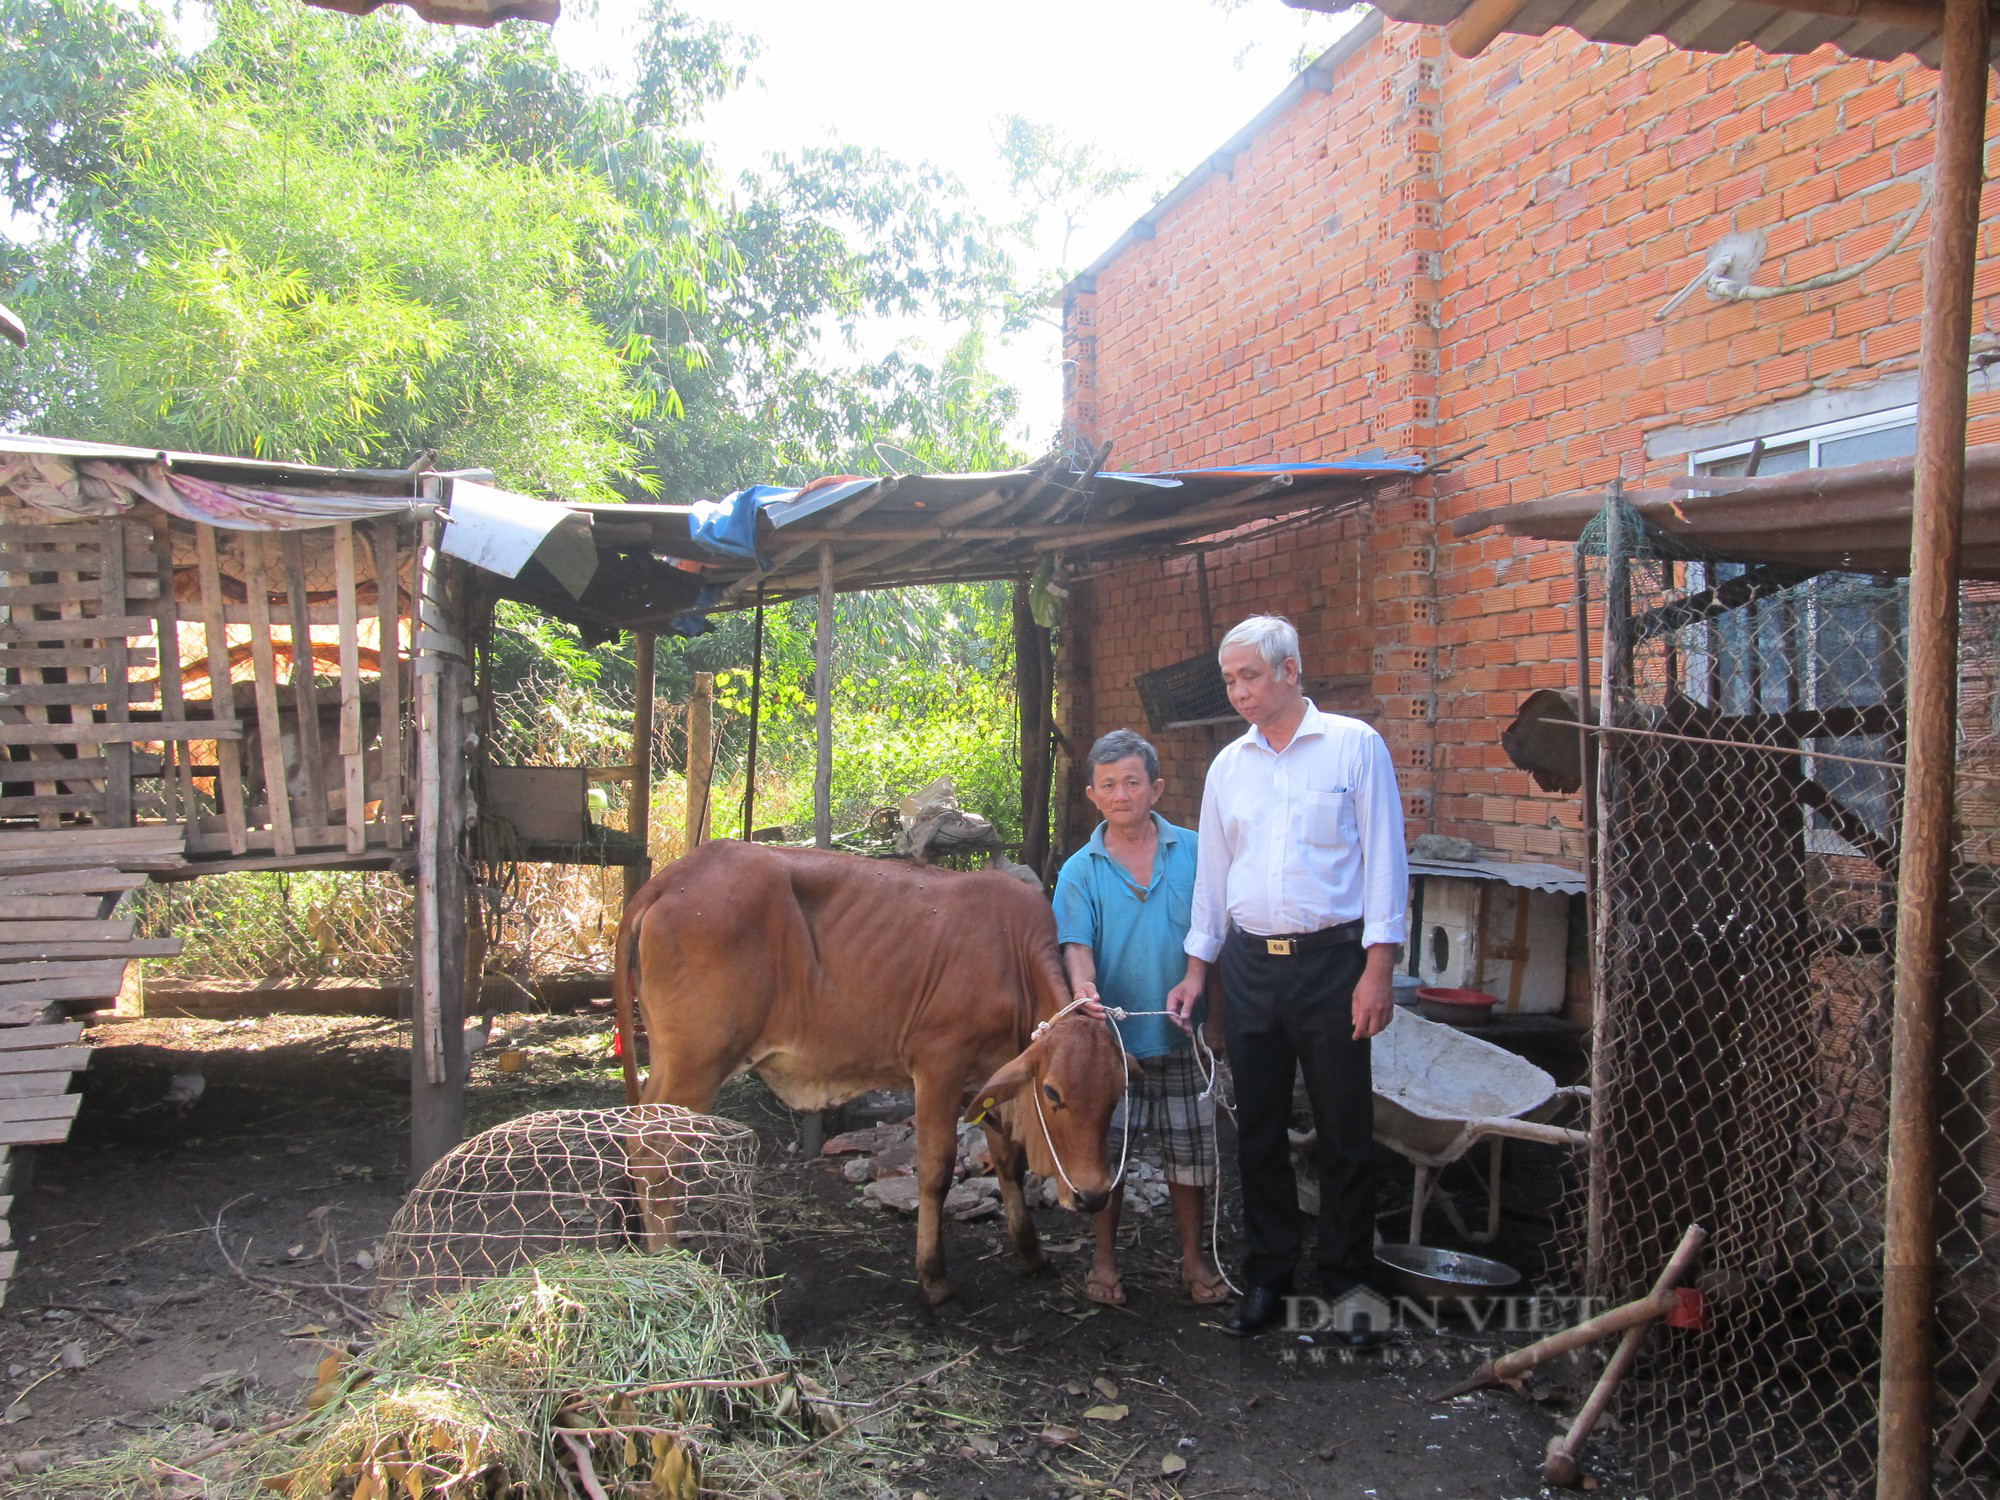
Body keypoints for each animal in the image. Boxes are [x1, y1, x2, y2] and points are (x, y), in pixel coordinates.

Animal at [616, 848, 1136, 1304]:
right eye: (1053, 1092)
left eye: (1116, 1095)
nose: (1093, 1196)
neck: (1013, 958)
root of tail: (669, 879)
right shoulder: (939, 1067)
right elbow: (935, 1172)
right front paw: (934, 1279)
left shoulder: (990, 1080)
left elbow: (1009, 1161)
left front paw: (1031, 1253)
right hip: (697, 1064)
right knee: (653, 1151)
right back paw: (667, 1260)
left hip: (670, 1061)